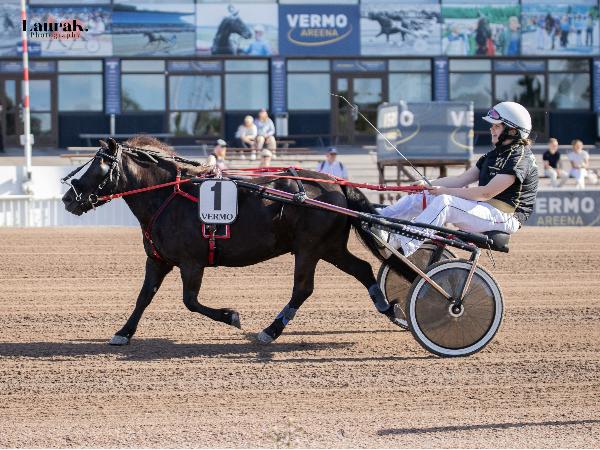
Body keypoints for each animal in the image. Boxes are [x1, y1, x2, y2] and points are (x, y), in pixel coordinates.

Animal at [61, 136, 413, 346]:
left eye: (98, 166)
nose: (68, 198)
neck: (169, 196)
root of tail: (335, 184)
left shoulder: (192, 261)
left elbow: (190, 301)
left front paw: (231, 316)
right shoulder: (158, 259)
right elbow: (144, 297)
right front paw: (123, 332)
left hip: (309, 248)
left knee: (303, 289)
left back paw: (271, 330)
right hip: (330, 247)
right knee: (363, 269)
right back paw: (388, 308)